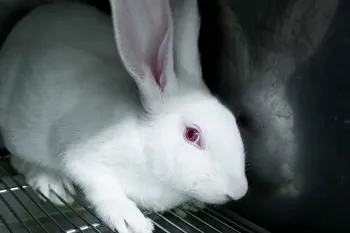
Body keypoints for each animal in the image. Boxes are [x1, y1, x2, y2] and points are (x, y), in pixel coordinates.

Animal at [0, 0, 247, 231]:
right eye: (192, 134)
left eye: (232, 119)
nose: (239, 191)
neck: (145, 147)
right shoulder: (84, 159)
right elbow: (102, 188)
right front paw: (132, 221)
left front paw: (191, 205)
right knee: (19, 160)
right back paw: (52, 183)